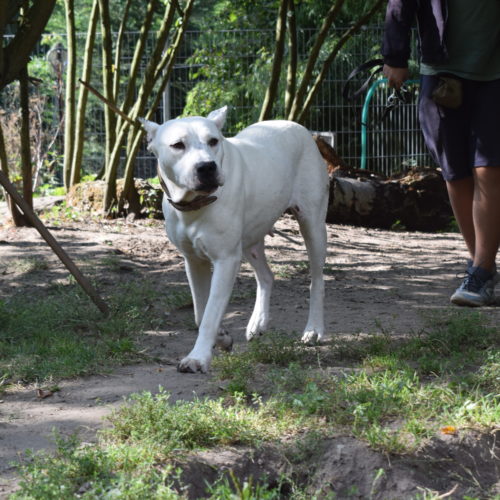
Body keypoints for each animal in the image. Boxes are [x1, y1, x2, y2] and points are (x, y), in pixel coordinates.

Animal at [142, 107, 328, 374]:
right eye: (178, 145)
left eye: (213, 141)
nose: (206, 167)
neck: (195, 204)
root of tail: (296, 125)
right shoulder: (193, 261)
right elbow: (200, 311)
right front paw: (221, 338)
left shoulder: (225, 260)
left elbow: (210, 313)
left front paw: (198, 357)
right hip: (250, 239)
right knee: (266, 276)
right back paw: (258, 323)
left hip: (312, 224)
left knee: (317, 280)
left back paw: (313, 330)